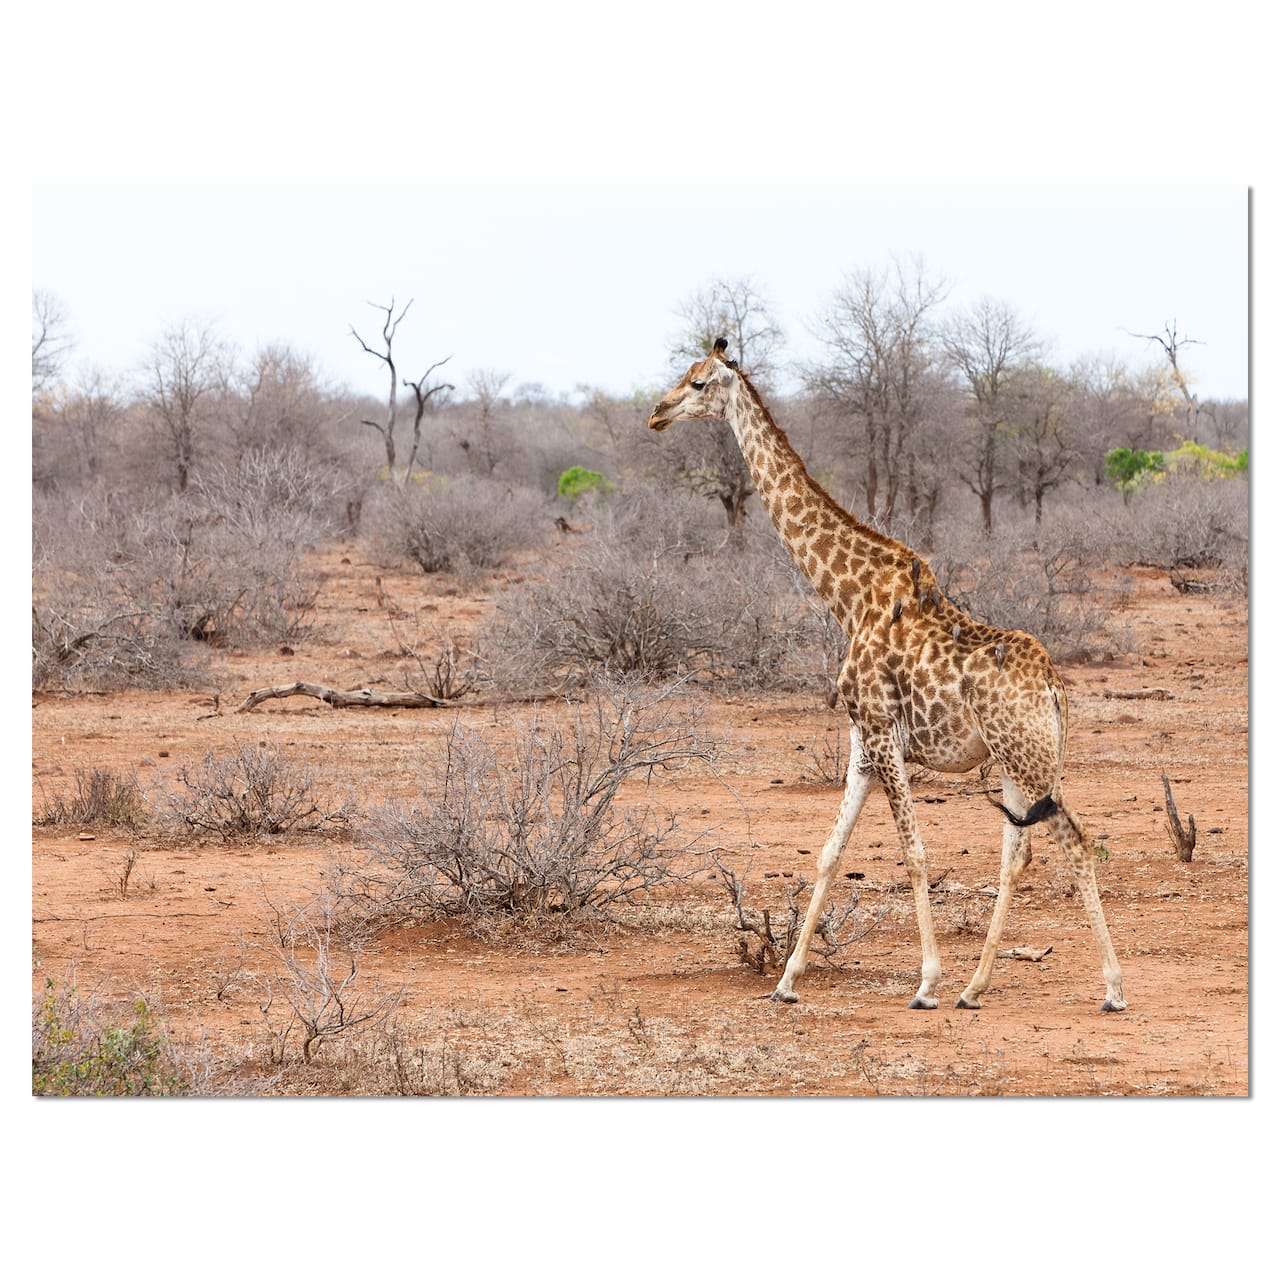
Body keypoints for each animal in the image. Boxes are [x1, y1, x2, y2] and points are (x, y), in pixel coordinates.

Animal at [648, 338, 1126, 1013]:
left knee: (1076, 844)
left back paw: (1110, 988)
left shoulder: (882, 733)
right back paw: (976, 987)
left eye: (697, 382)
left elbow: (914, 853)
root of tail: (1056, 690)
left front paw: (926, 982)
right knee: (1019, 854)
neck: (847, 598)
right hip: (1016, 761)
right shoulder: (861, 742)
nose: (656, 413)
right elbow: (829, 852)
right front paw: (787, 982)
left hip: (1030, 761)